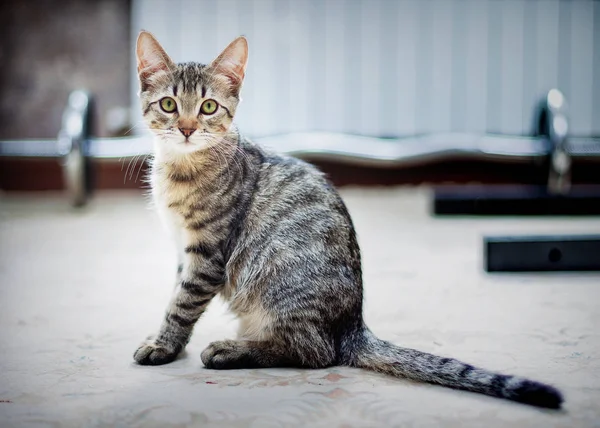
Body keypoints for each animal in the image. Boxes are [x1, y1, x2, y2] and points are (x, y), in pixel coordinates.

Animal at [131, 30, 564, 408]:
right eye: (169, 105)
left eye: (208, 107)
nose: (187, 129)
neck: (180, 170)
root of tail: (353, 324)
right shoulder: (184, 251)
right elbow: (176, 295)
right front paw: (167, 341)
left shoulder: (207, 255)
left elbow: (182, 304)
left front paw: (163, 345)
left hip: (277, 283)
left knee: (316, 352)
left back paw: (232, 350)